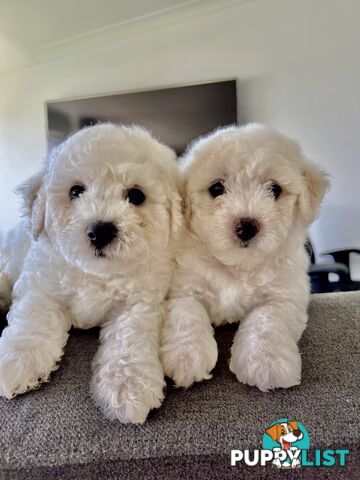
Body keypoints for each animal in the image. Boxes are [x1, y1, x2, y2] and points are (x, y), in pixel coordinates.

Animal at [0, 124, 181, 424]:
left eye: (136, 196)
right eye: (75, 191)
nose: (101, 231)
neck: (95, 274)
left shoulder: (138, 302)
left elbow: (128, 337)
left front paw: (128, 385)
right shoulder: (41, 286)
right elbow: (33, 320)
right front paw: (16, 360)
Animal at [160, 123, 330, 390]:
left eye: (275, 189)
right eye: (216, 188)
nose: (246, 226)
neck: (238, 266)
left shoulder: (285, 294)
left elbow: (267, 319)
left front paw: (266, 362)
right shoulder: (184, 286)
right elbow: (187, 313)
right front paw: (186, 356)